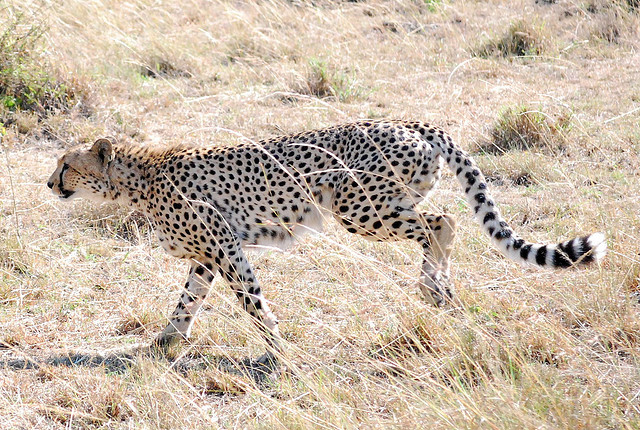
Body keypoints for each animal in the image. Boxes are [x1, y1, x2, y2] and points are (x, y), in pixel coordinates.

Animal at [47, 119, 606, 361]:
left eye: (66, 165)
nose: (49, 184)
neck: (139, 175)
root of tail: (411, 120)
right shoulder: (208, 255)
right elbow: (188, 299)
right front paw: (165, 340)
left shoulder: (226, 250)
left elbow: (251, 302)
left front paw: (277, 350)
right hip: (378, 206)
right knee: (442, 223)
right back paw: (439, 293)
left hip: (359, 209)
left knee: (442, 222)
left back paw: (433, 288)